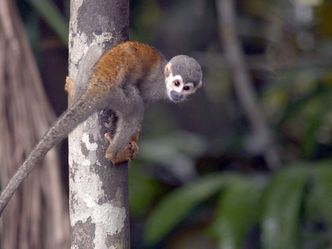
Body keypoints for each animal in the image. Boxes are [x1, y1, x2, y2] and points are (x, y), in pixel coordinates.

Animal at [0, 40, 202, 214]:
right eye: (177, 83)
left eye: (187, 88)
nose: (177, 94)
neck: (164, 80)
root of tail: (100, 84)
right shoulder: (154, 88)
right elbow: (141, 104)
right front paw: (133, 139)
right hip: (115, 94)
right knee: (135, 104)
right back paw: (114, 154)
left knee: (96, 49)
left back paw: (75, 90)